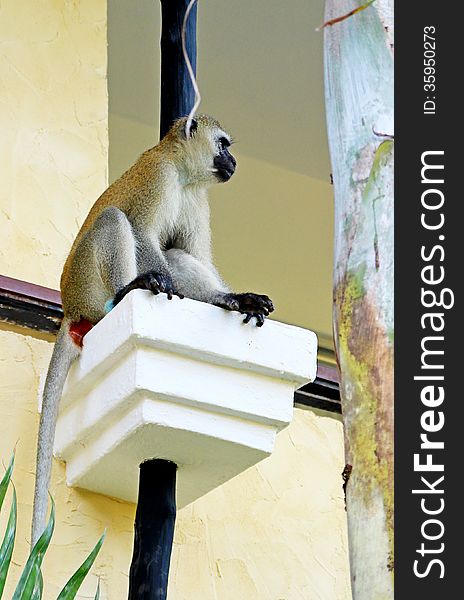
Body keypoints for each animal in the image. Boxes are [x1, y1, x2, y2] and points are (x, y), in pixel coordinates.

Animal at [31, 115, 276, 548]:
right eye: (224, 145)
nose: (233, 161)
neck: (182, 174)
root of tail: (70, 309)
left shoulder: (197, 198)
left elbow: (190, 255)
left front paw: (234, 299)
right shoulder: (158, 178)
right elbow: (144, 234)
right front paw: (162, 283)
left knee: (174, 254)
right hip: (87, 287)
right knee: (115, 221)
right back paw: (132, 289)